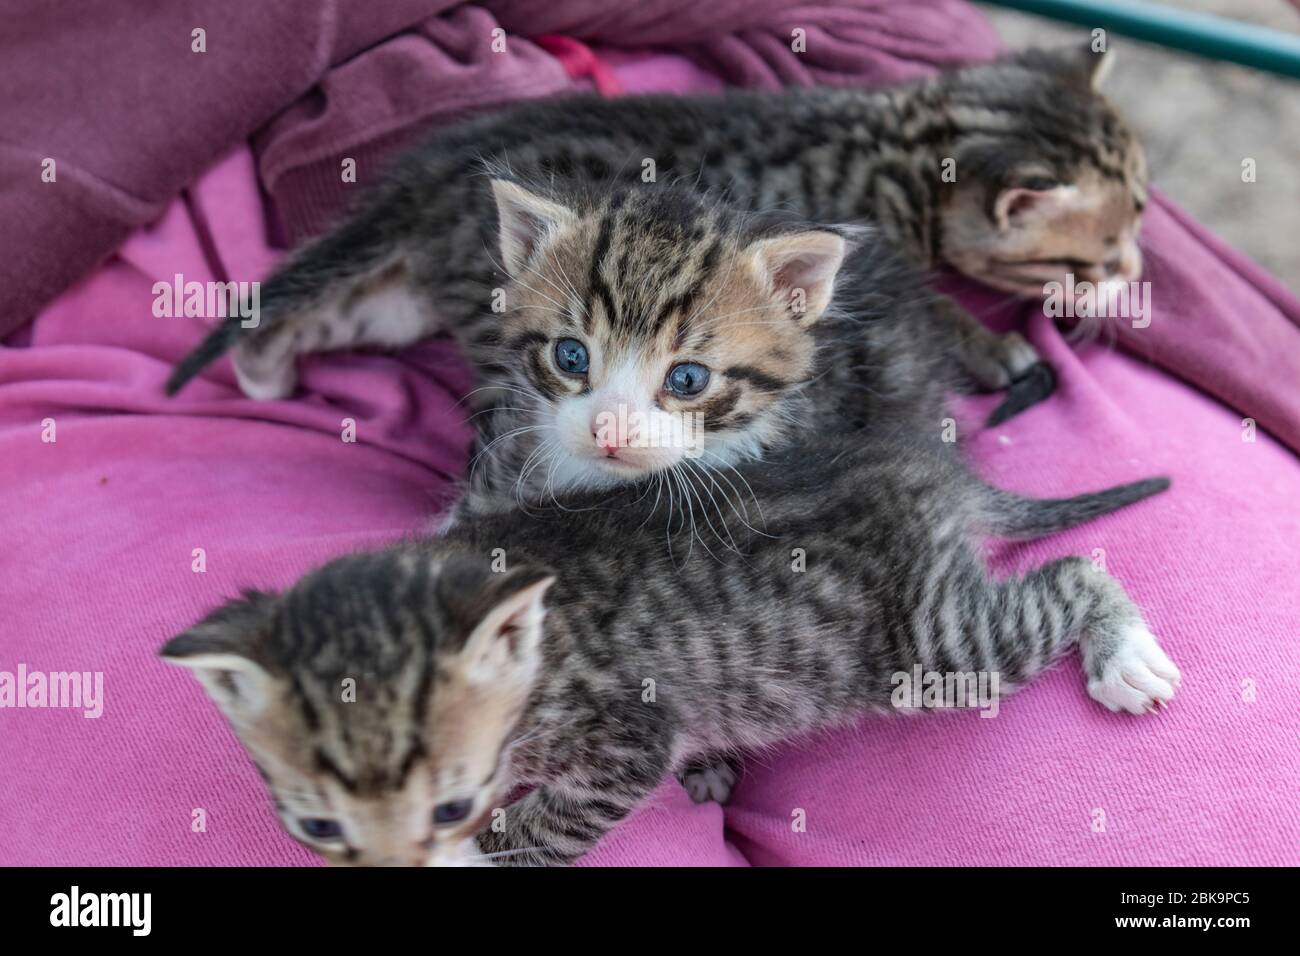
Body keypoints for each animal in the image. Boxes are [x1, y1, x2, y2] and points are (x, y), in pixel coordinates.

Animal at [157, 434, 1175, 868]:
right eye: (319, 825)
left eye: (447, 803)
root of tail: (924, 470)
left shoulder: (620, 738)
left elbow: (545, 824)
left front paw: (478, 854)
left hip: (930, 642)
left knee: (1072, 572)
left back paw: (1127, 656)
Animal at [165, 41, 1149, 421]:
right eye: (1105, 247)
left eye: (1144, 206)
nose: (1138, 272)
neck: (908, 142)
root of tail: (435, 172)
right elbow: (937, 310)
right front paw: (994, 346)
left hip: (406, 299)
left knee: (315, 318)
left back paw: (266, 371)